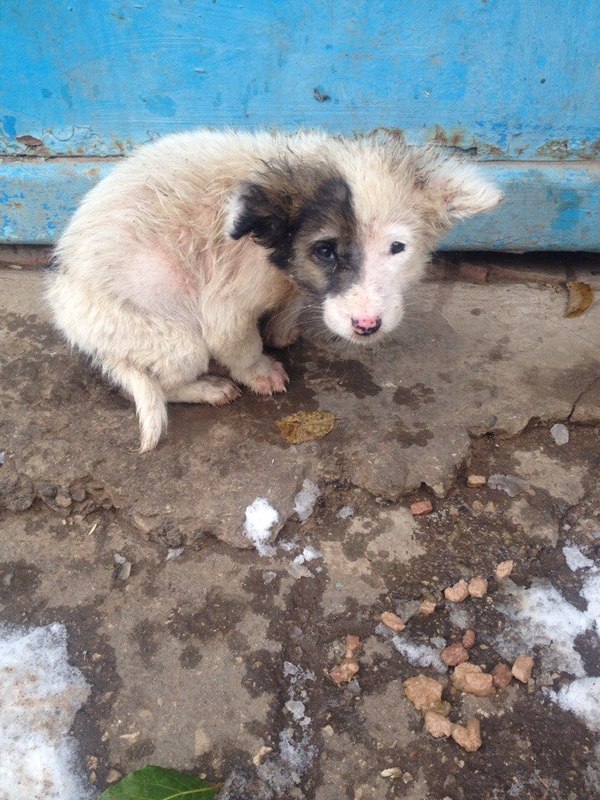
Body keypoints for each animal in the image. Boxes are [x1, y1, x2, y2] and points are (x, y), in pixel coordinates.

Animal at [45, 130, 502, 450]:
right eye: (325, 250)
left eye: (397, 248)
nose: (367, 326)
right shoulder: (225, 307)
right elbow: (242, 346)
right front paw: (260, 372)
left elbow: (292, 301)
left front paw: (282, 330)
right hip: (172, 339)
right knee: (165, 384)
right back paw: (209, 388)